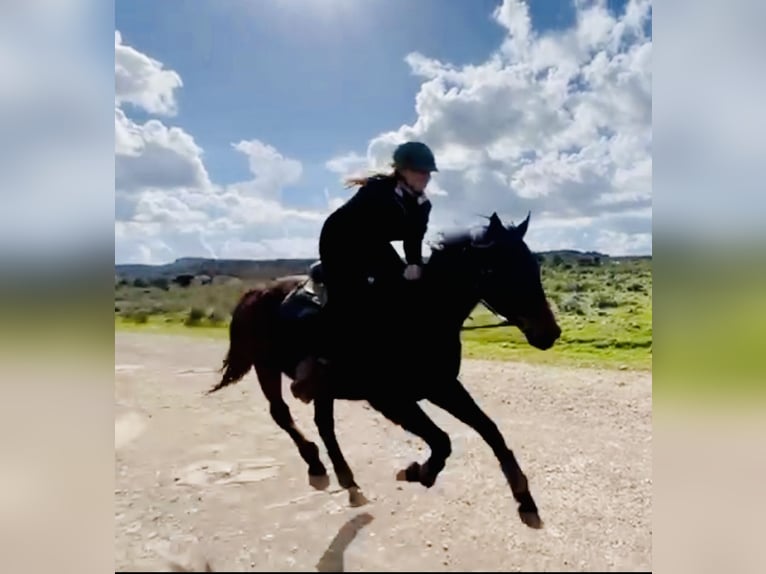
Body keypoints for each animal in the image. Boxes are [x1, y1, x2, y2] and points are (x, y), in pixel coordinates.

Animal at [206, 211, 561, 529]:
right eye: (501, 269)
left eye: (534, 267)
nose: (550, 333)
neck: (416, 314)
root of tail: (253, 294)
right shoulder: (390, 399)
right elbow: (442, 440)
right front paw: (419, 472)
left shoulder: (443, 386)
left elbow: (490, 431)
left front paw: (525, 500)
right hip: (265, 368)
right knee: (282, 414)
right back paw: (315, 464)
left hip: (322, 387)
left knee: (324, 425)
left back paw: (348, 481)